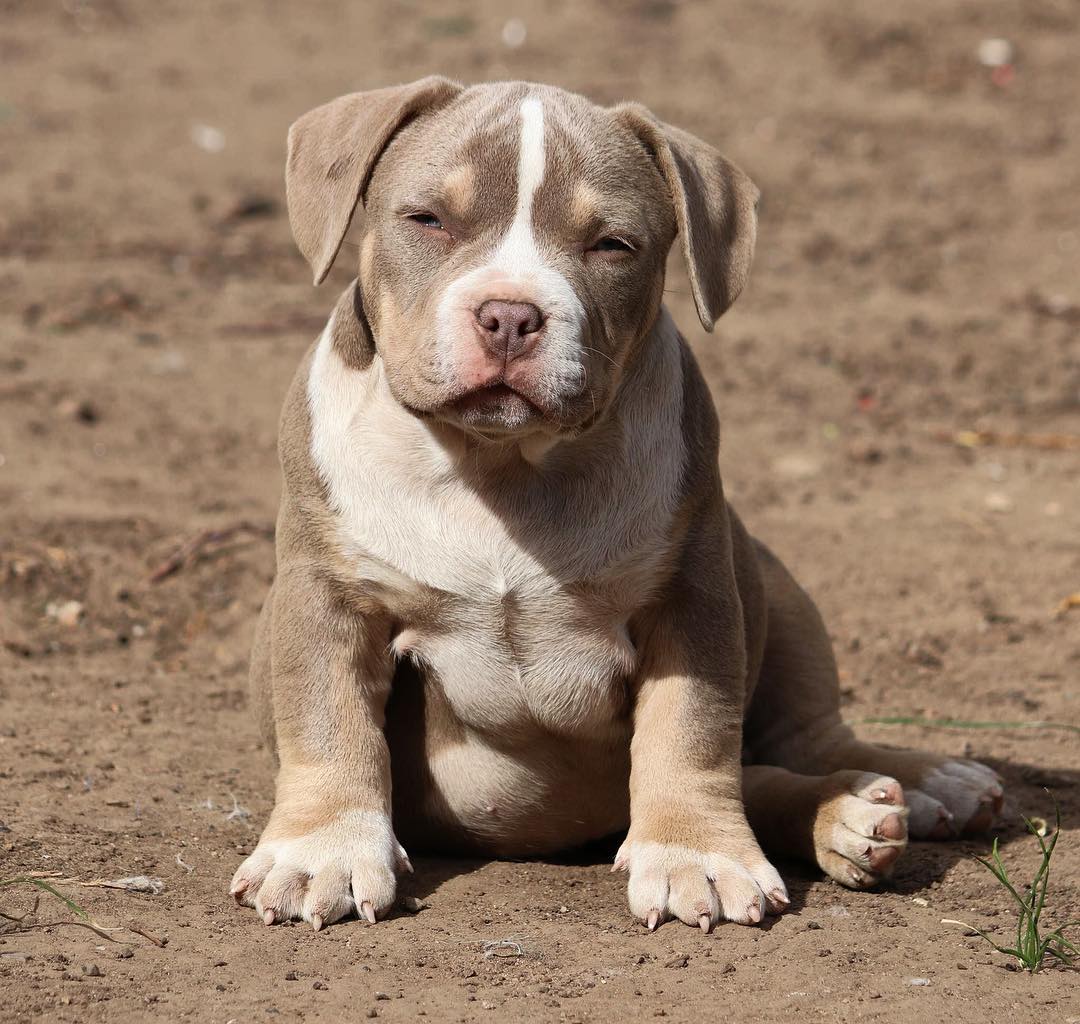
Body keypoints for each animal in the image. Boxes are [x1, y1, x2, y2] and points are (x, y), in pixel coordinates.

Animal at [232, 76, 1006, 933]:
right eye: (427, 220)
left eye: (612, 245)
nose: (510, 316)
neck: (502, 468)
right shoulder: (325, 594)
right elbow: (329, 722)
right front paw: (321, 852)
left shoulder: (694, 593)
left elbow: (691, 732)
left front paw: (696, 854)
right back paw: (852, 818)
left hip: (775, 586)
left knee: (798, 741)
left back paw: (901, 790)